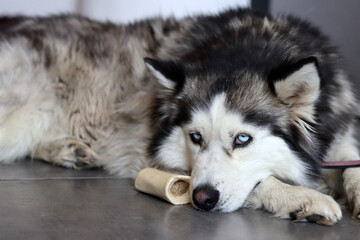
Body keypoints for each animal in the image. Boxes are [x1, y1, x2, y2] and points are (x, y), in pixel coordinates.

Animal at [0, 7, 360, 225]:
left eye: (243, 139)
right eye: (195, 137)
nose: (202, 199)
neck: (247, 46)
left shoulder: (338, 133)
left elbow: (351, 161)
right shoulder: (158, 159)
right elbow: (260, 182)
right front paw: (303, 198)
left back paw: (66, 150)